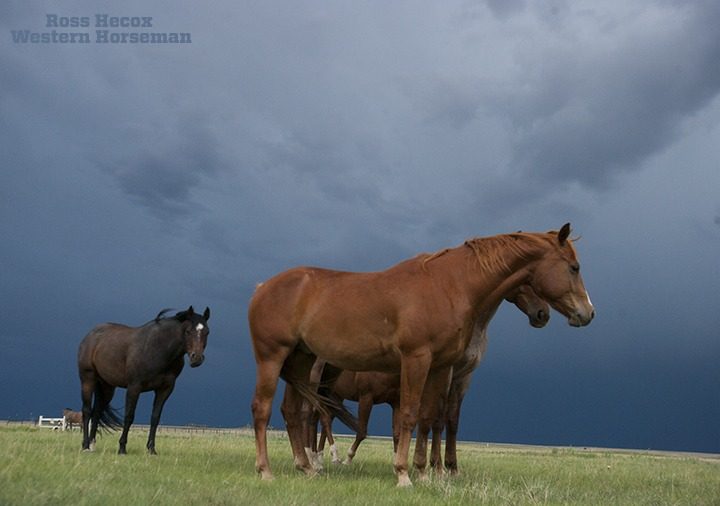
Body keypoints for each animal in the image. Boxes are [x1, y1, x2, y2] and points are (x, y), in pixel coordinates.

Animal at [77, 306, 210, 454]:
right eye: (188, 331)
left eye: (207, 332)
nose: (196, 358)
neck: (158, 349)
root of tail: (90, 336)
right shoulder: (134, 387)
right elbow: (129, 416)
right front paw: (122, 448)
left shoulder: (165, 389)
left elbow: (155, 418)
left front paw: (151, 449)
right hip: (88, 380)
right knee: (87, 411)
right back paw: (85, 446)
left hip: (106, 387)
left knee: (97, 412)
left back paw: (92, 445)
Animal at [249, 224, 593, 486]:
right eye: (574, 267)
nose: (588, 313)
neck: (450, 286)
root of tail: (263, 287)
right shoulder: (416, 359)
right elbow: (411, 416)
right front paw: (404, 474)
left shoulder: (441, 367)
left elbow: (431, 418)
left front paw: (426, 472)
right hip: (272, 358)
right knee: (263, 409)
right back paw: (266, 471)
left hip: (301, 362)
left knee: (292, 412)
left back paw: (305, 467)